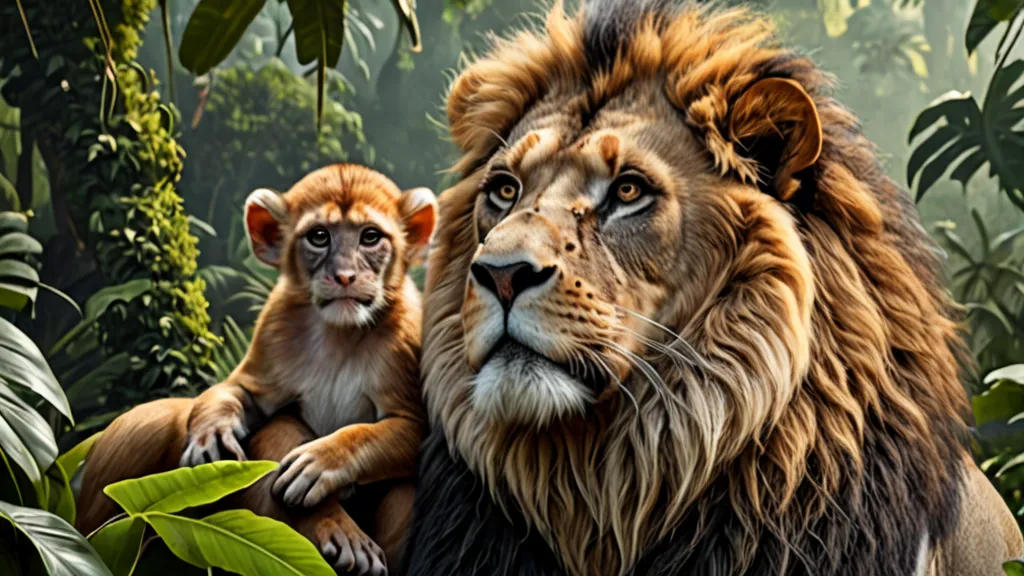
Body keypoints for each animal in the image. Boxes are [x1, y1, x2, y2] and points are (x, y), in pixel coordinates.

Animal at [75, 164, 436, 576]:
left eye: (370, 237)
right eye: (319, 236)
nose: (344, 276)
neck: (339, 334)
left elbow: (376, 433)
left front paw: (319, 461)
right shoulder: (268, 345)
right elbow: (232, 394)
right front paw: (212, 436)